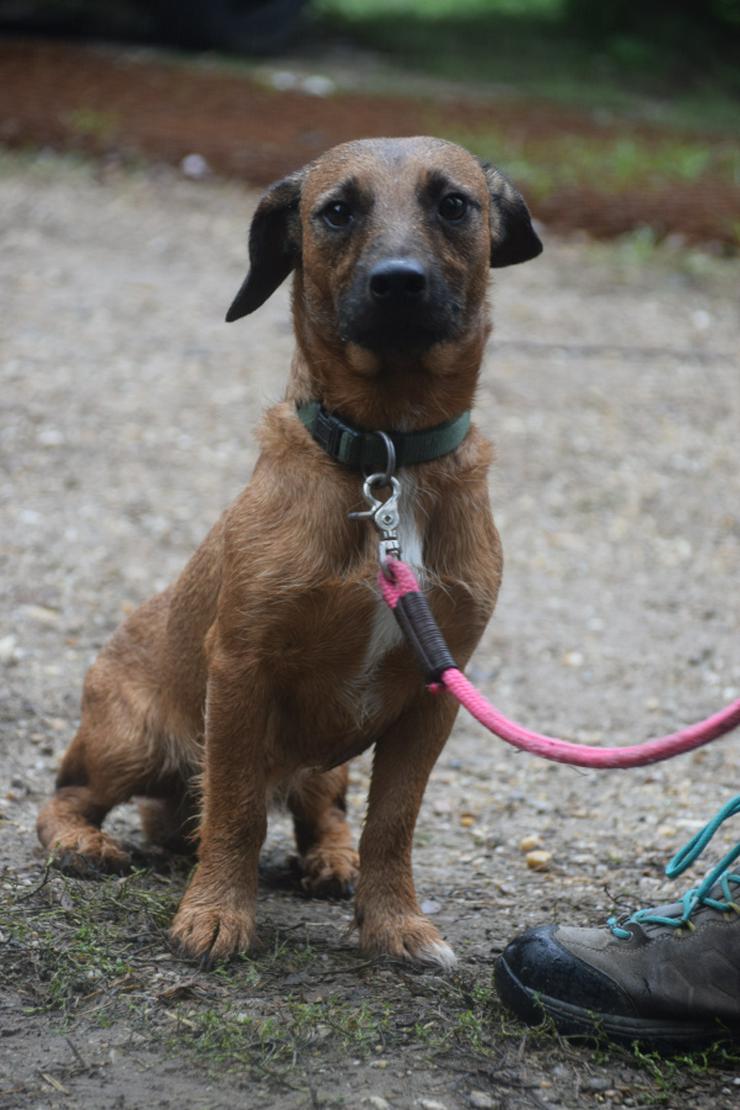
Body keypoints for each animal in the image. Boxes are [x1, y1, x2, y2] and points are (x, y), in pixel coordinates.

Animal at [36, 134, 543, 967]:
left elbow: (391, 823)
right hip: (135, 740)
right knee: (70, 794)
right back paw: (81, 842)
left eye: (453, 204)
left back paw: (329, 860)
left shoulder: (435, 693)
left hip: (322, 766)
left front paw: (394, 921)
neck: (386, 459)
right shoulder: (243, 672)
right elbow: (237, 811)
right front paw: (216, 913)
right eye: (336, 210)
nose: (397, 283)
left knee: (325, 813)